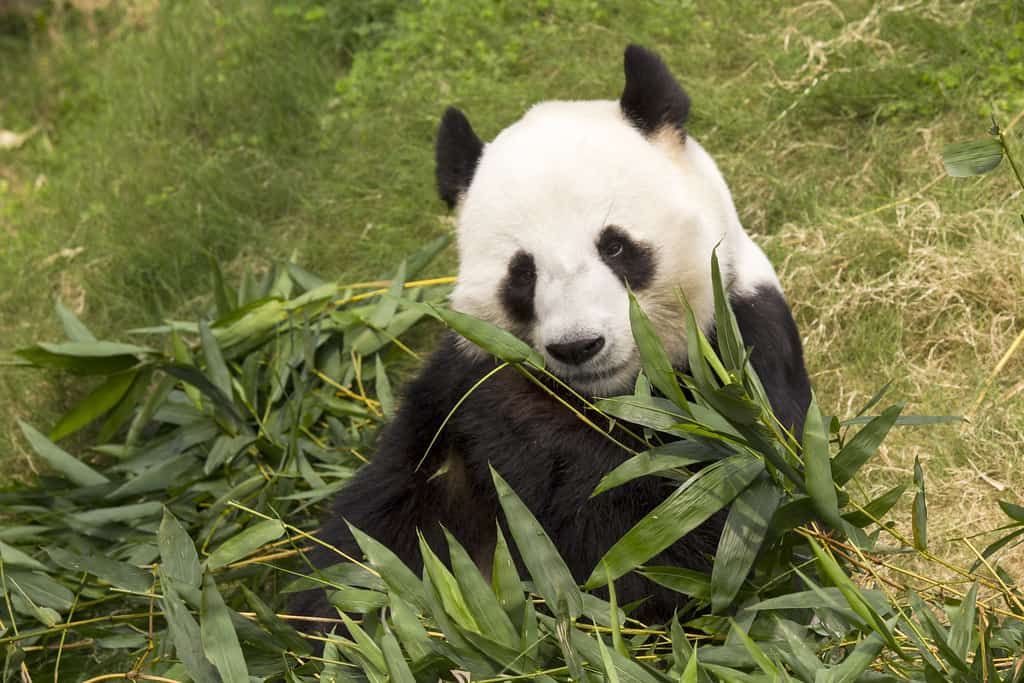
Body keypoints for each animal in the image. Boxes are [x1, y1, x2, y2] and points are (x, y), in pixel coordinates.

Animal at [292, 42, 811, 630]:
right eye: (522, 273)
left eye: (615, 246)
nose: (578, 346)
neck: (605, 396)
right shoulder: (434, 410)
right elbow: (371, 552)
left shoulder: (741, 360)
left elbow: (687, 536)